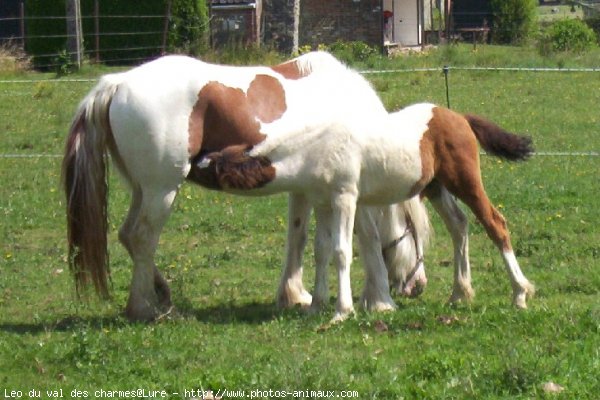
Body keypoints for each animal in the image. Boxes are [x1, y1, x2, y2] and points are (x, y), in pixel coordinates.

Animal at [62, 52, 426, 322]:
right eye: (414, 229)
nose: (419, 286)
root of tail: (118, 82)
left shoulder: (306, 188)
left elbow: (299, 237)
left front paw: (294, 294)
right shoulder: (347, 187)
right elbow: (368, 237)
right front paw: (380, 299)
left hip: (142, 189)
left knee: (127, 235)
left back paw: (161, 295)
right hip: (160, 190)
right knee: (142, 237)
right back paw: (144, 308)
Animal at [202, 101, 536, 320]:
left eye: (212, 166)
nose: (194, 165)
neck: (316, 148)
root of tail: (458, 116)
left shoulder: (345, 199)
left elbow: (341, 251)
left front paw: (342, 311)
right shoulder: (323, 204)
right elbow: (321, 251)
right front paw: (316, 305)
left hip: (464, 181)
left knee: (495, 223)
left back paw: (520, 293)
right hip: (435, 188)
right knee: (459, 225)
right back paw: (459, 293)